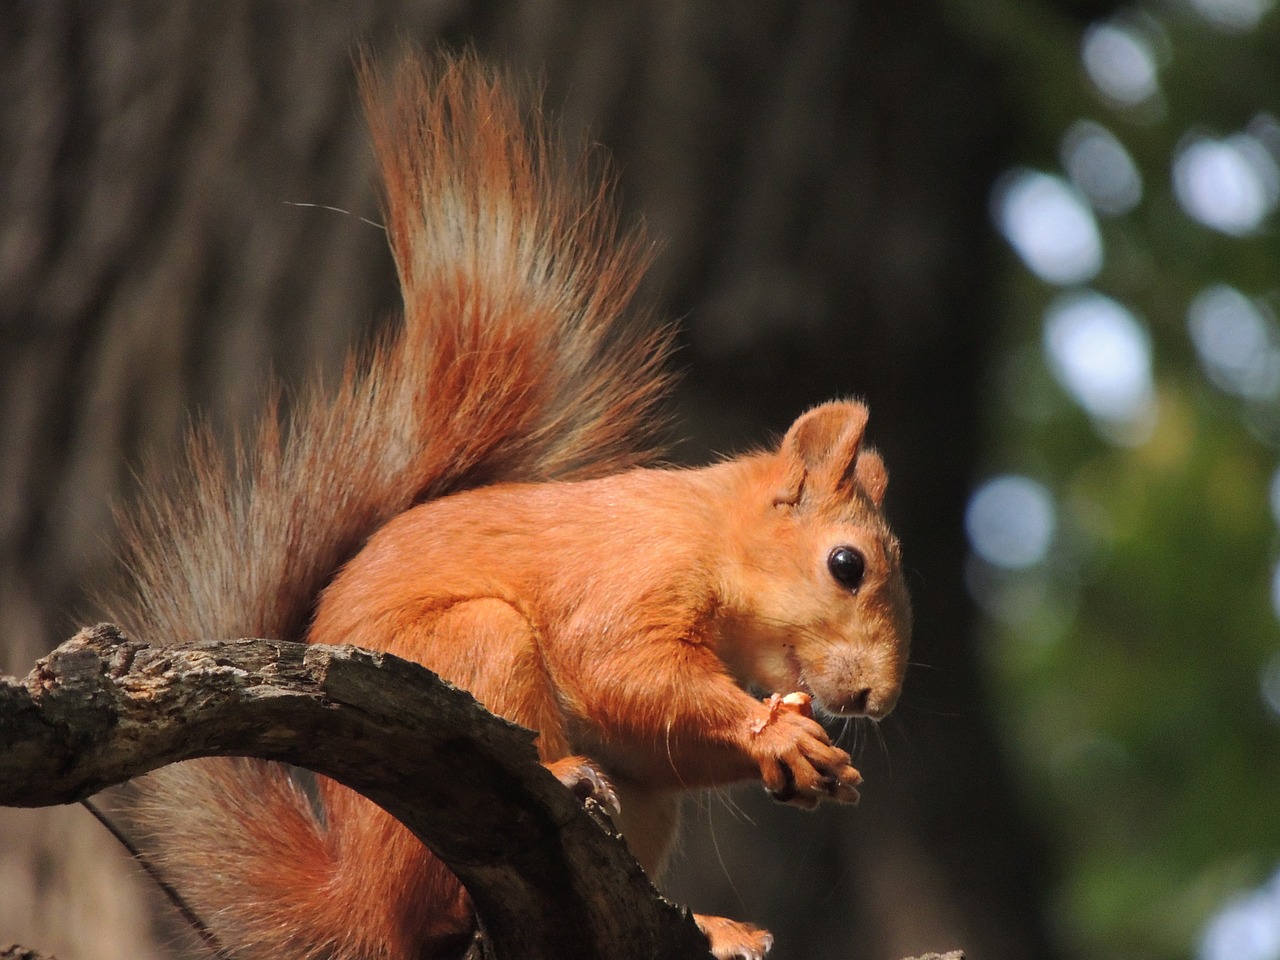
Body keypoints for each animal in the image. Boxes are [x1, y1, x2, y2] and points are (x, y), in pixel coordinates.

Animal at [112, 50, 911, 960]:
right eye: (846, 565)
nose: (877, 701)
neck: (709, 536)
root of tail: (361, 900)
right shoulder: (628, 574)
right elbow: (621, 669)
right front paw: (775, 731)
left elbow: (656, 739)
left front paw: (814, 762)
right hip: (474, 653)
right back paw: (558, 783)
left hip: (634, 805)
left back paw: (710, 927)